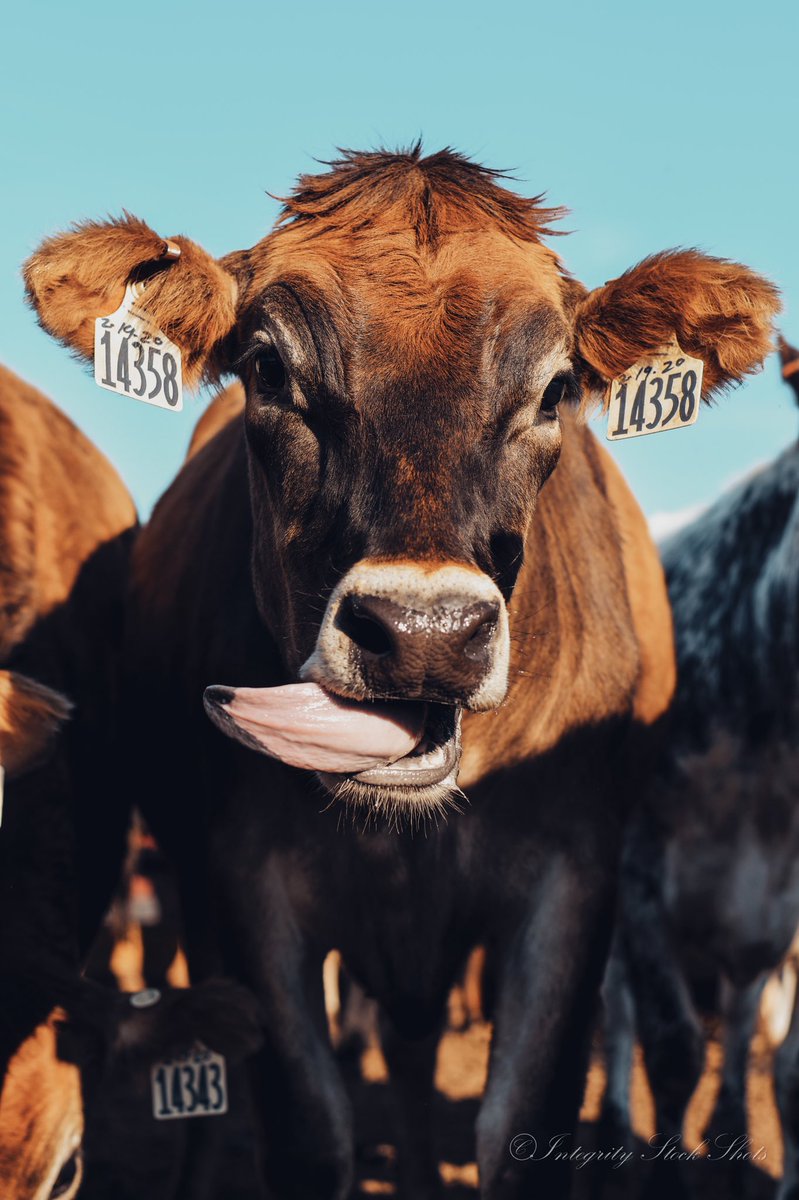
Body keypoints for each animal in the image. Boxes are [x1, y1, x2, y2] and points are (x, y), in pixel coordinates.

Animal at [24, 147, 779, 1199]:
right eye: (268, 368)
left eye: (556, 389)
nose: (424, 632)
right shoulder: (244, 881)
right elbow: (310, 1128)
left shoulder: (575, 880)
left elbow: (518, 1127)